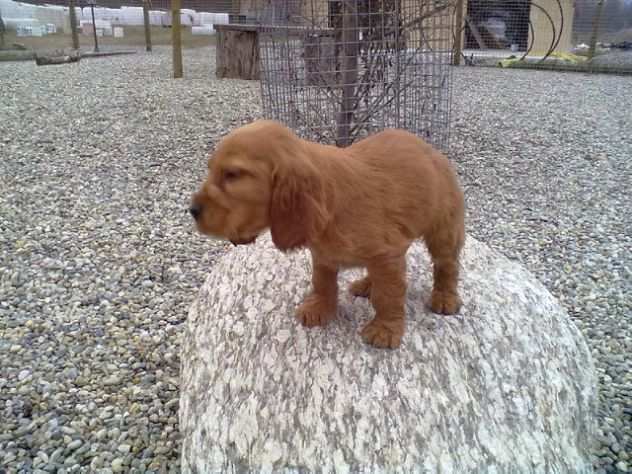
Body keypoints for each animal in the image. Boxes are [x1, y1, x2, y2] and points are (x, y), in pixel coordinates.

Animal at [191, 119, 464, 348]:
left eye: (232, 175)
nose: (192, 210)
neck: (331, 203)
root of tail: (432, 150)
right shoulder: (324, 255)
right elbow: (322, 282)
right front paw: (319, 308)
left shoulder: (386, 253)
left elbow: (388, 294)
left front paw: (385, 329)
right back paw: (367, 284)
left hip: (444, 228)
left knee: (446, 265)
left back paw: (445, 298)